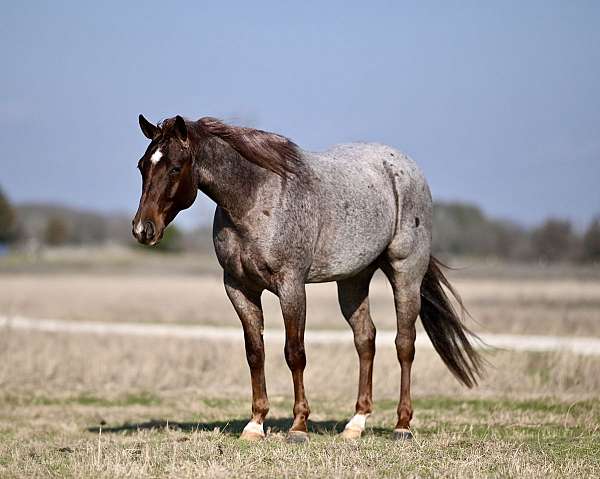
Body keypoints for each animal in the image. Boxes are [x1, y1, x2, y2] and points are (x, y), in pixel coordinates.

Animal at [131, 114, 482, 444]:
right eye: (142, 166)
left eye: (175, 168)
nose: (142, 229)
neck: (255, 198)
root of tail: (405, 166)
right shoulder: (239, 288)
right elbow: (255, 352)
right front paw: (255, 424)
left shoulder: (291, 286)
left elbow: (294, 353)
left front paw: (298, 427)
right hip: (354, 280)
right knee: (365, 340)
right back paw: (356, 424)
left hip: (406, 274)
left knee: (404, 344)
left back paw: (402, 425)